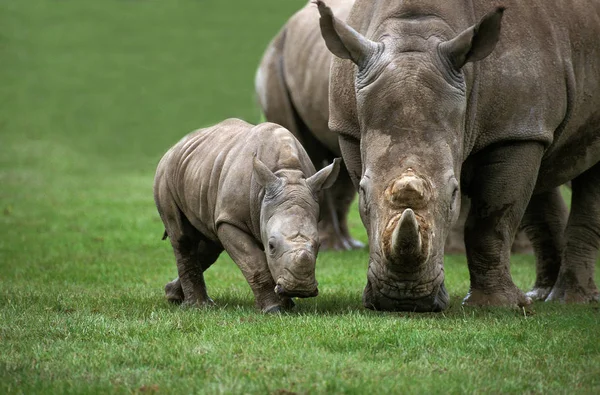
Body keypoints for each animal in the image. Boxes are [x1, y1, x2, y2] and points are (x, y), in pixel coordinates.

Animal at [152, 119, 340, 314]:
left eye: (319, 245)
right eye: (271, 246)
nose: (300, 289)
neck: (287, 173)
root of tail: (175, 146)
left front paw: (287, 305)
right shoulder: (230, 219)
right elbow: (254, 263)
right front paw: (274, 309)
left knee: (210, 245)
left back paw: (173, 296)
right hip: (165, 173)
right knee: (183, 238)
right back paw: (198, 306)